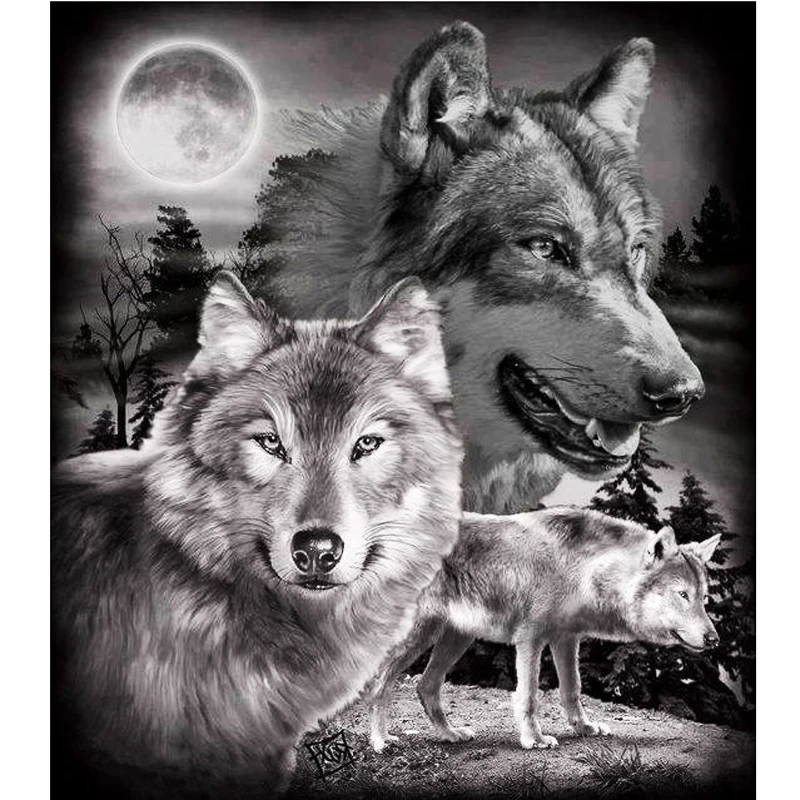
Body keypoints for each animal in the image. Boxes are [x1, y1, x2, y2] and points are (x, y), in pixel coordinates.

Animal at [367, 507, 721, 752]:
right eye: (682, 595)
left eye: (704, 598)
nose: (714, 639)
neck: (584, 570)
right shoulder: (531, 638)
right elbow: (529, 696)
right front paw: (534, 739)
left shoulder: (566, 639)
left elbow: (572, 689)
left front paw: (584, 728)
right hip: (419, 636)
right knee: (379, 684)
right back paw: (381, 742)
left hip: (457, 638)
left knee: (425, 686)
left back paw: (449, 734)